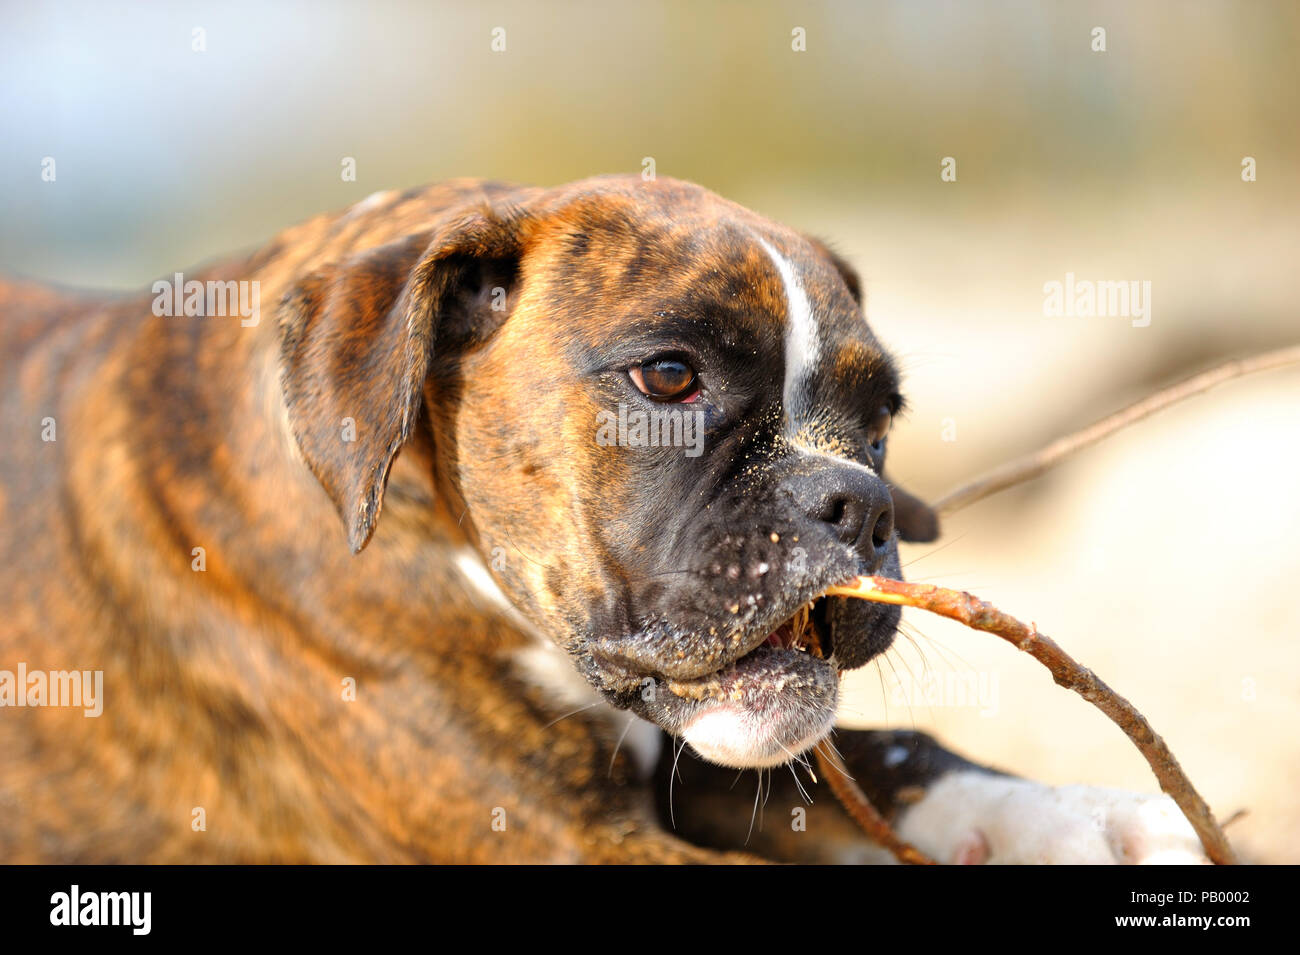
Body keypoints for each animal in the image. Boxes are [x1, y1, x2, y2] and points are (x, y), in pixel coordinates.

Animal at [0, 175, 1206, 862]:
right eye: (667, 377)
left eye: (881, 418)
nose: (853, 501)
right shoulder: (564, 840)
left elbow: (898, 749)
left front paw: (1079, 818)